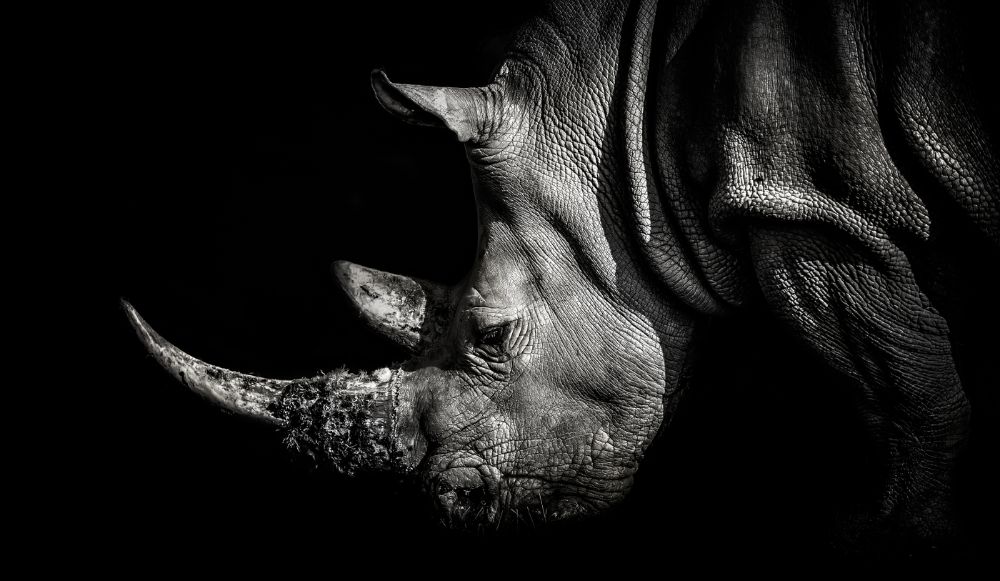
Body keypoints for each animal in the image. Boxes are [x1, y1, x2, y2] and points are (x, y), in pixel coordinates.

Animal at [125, 0, 997, 548]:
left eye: (491, 333)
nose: (454, 509)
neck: (625, 124)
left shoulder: (809, 208)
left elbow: (906, 398)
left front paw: (890, 535)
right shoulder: (812, 202)